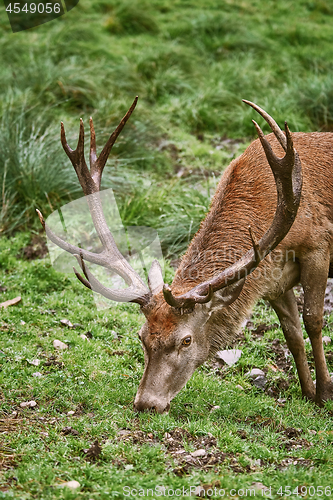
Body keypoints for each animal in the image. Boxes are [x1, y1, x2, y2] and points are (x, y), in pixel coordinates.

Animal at [37, 96, 332, 410]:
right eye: (142, 336)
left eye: (186, 340)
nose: (146, 403)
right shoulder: (273, 280)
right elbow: (292, 333)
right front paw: (308, 392)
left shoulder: (318, 246)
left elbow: (313, 320)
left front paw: (325, 393)